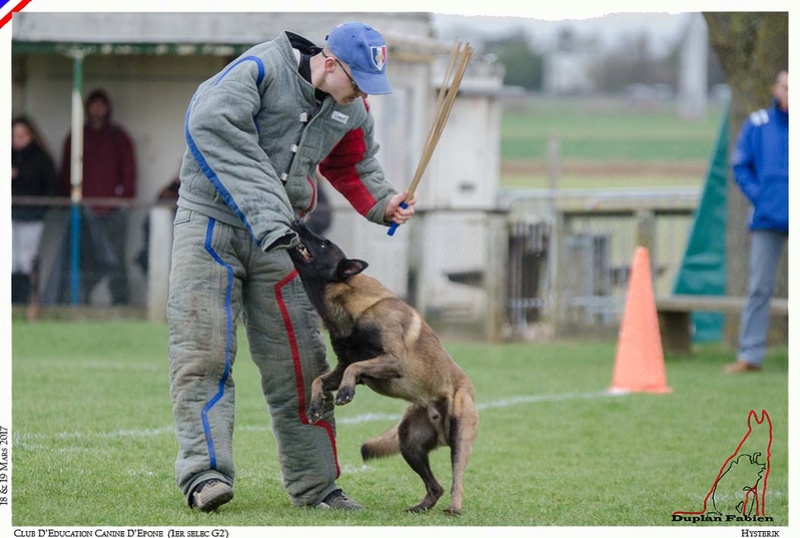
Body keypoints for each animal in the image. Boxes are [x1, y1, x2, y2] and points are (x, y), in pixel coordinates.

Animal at [288, 219, 476, 516]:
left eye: (324, 244)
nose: (298, 221)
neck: (351, 302)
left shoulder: (392, 361)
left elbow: (356, 368)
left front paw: (345, 393)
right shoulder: (341, 366)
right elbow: (320, 378)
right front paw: (316, 404)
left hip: (459, 435)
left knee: (457, 479)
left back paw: (454, 507)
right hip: (408, 442)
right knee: (435, 486)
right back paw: (420, 507)